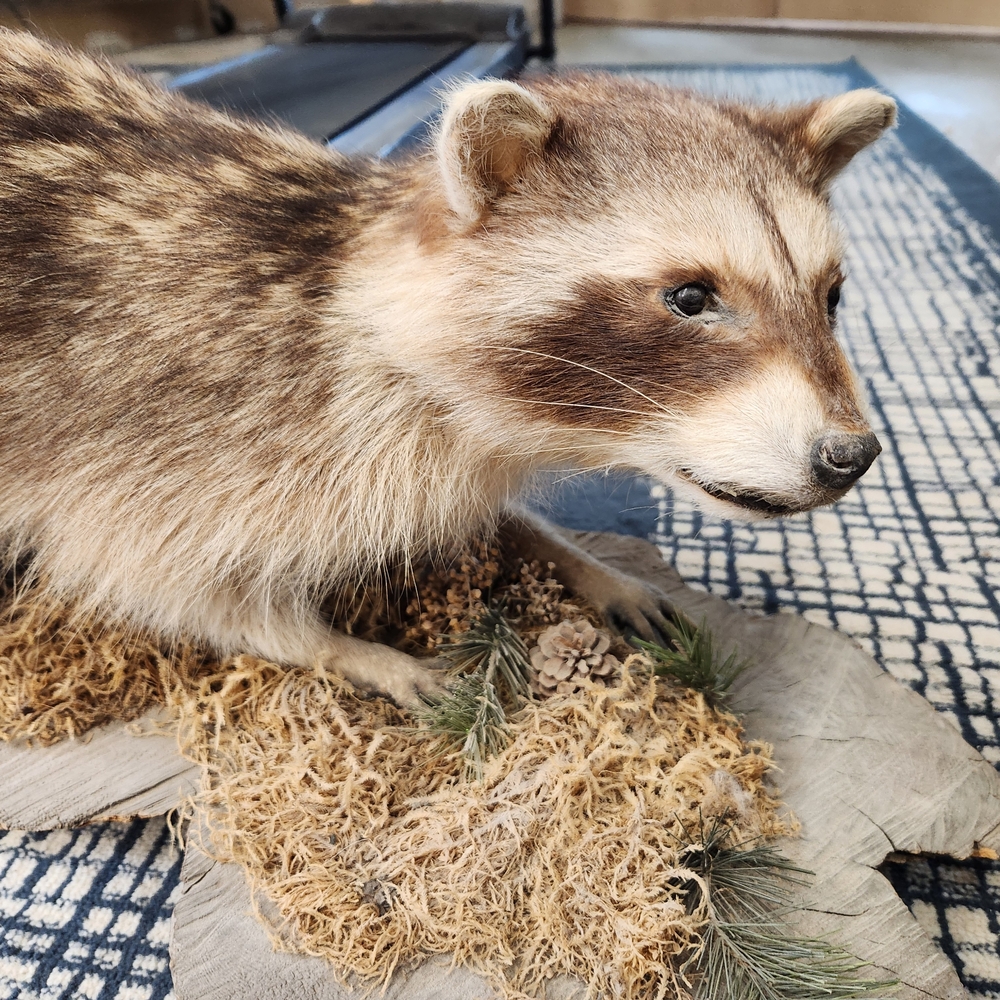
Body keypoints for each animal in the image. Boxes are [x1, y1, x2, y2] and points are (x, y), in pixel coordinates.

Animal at [0, 31, 893, 704]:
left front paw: (568, 554)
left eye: (833, 295)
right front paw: (348, 649)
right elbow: (162, 583)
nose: (851, 456)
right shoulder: (166, 427)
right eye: (689, 297)